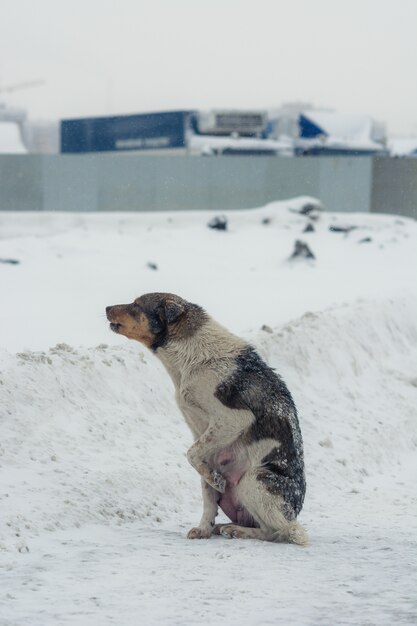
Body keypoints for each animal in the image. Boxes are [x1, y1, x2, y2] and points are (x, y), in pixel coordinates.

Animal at [105, 292, 306, 540]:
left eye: (136, 305)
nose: (106, 308)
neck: (190, 357)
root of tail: (293, 513)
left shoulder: (232, 419)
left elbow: (191, 454)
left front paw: (215, 478)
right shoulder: (203, 437)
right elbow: (206, 490)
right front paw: (203, 528)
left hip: (254, 480)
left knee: (280, 531)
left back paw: (238, 530)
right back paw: (219, 527)